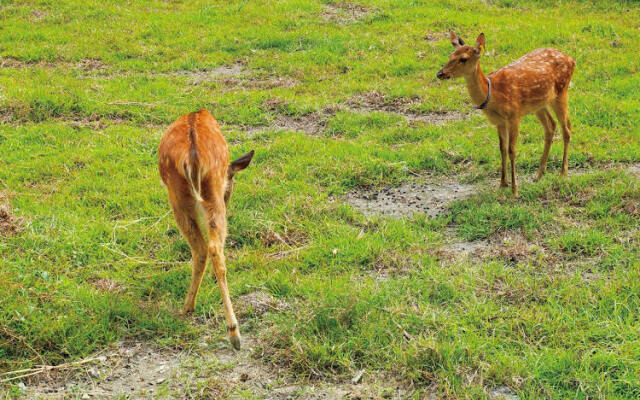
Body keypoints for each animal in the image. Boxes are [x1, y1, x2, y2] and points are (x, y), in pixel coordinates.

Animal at [158, 109, 252, 350]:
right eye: (233, 181)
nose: (229, 195)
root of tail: (192, 160)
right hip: (209, 195)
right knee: (212, 246)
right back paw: (232, 331)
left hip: (179, 197)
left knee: (203, 248)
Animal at [436, 32, 576, 198]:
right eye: (450, 55)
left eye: (463, 58)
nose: (440, 73)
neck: (493, 94)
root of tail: (572, 59)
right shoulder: (499, 121)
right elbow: (502, 149)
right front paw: (503, 184)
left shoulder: (514, 116)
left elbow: (512, 150)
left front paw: (515, 190)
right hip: (539, 104)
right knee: (550, 126)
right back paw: (539, 174)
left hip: (561, 92)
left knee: (567, 129)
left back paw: (563, 174)